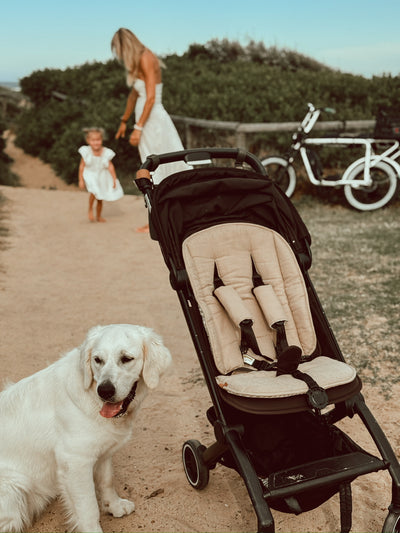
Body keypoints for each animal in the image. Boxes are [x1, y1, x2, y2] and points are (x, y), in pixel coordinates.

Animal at [0, 324, 170, 532]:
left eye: (126, 358)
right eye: (98, 360)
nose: (104, 391)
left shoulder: (103, 452)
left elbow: (107, 481)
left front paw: (114, 506)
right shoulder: (75, 461)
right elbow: (88, 508)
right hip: (14, 492)